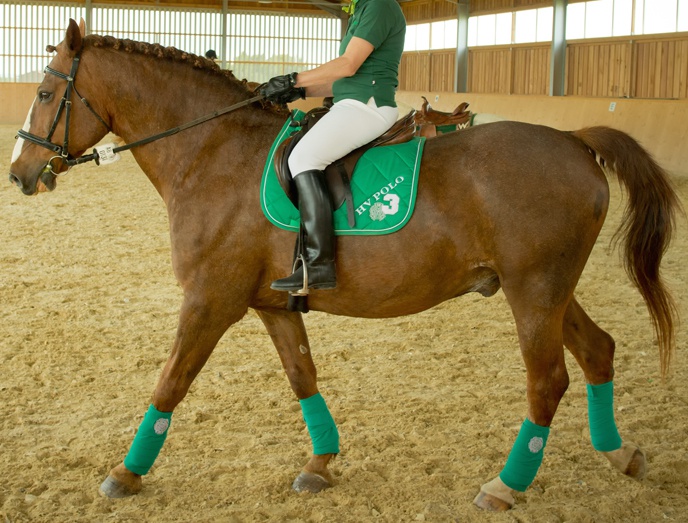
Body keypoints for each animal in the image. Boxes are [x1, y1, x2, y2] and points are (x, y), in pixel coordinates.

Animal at [8, 20, 679, 511]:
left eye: (43, 93)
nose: (18, 175)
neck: (212, 154)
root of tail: (574, 140)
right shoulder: (272, 303)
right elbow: (302, 376)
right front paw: (320, 463)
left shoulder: (209, 299)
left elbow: (171, 381)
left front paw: (125, 475)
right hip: (551, 288)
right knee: (598, 351)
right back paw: (621, 455)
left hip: (533, 291)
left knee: (549, 381)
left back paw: (505, 485)